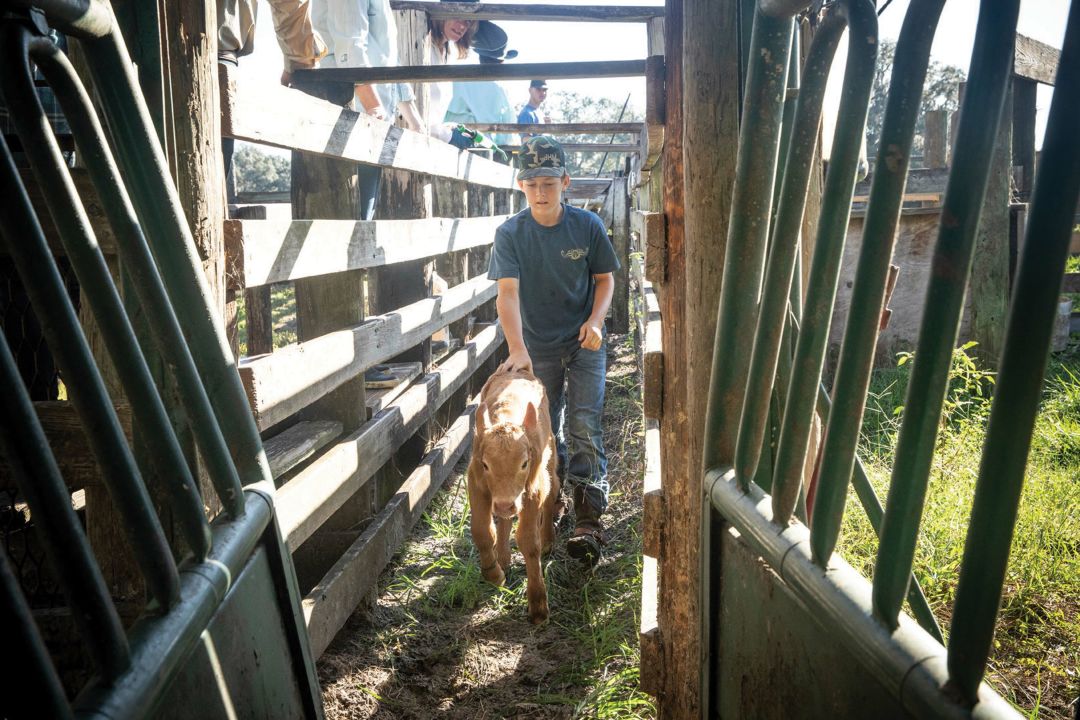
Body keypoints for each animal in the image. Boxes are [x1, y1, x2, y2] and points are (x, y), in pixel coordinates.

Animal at [468, 369, 561, 621]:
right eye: (486, 464)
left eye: (524, 463)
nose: (504, 505)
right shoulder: (476, 483)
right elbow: (482, 531)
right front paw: (494, 573)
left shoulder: (532, 490)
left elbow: (528, 541)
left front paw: (538, 605)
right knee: (503, 521)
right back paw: (503, 557)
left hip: (550, 461)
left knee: (553, 491)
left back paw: (548, 539)